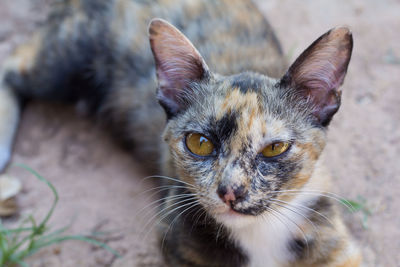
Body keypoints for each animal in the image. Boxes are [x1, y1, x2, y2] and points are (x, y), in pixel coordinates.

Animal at [0, 0, 360, 266]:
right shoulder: (175, 239)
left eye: (275, 148)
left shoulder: (338, 244)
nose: (230, 191)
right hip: (66, 59)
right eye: (199, 143)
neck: (259, 233)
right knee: (11, 64)